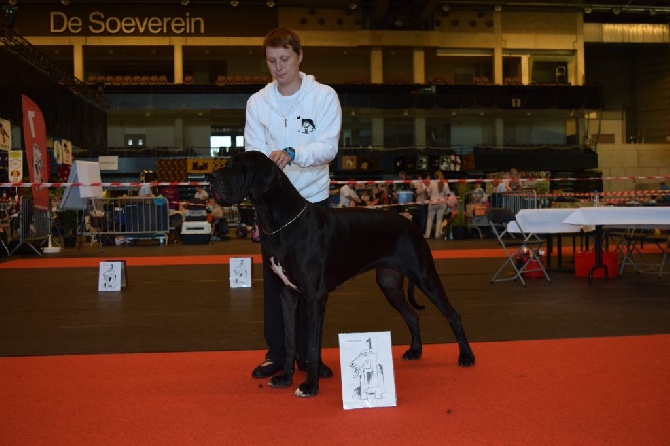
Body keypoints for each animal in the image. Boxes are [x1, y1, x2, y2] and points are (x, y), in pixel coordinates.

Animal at [211, 152, 478, 398]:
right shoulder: (287, 293)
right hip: (389, 282)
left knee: (453, 314)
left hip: (425, 275)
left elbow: (311, 343)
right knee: (412, 315)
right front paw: (285, 377)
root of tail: (411, 222)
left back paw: (466, 356)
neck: (282, 222)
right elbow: (288, 339)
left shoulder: (314, 296)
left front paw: (309, 385)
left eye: (238, 165)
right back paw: (415, 351)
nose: (212, 177)